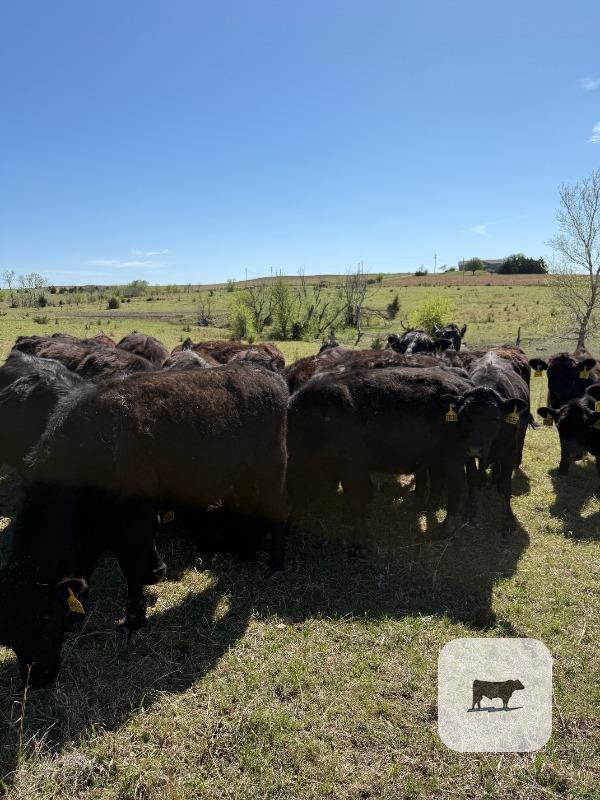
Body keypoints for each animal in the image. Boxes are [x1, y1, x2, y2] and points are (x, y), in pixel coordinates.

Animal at [0, 364, 289, 687]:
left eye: (46, 619)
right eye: (7, 636)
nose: (36, 678)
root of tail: (266, 374)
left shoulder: (135, 522)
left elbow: (133, 568)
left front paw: (134, 620)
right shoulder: (96, 531)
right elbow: (86, 568)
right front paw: (78, 613)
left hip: (272, 469)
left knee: (279, 513)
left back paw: (275, 565)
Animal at [287, 365, 473, 554]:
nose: (290, 523)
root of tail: (464, 385)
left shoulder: (352, 464)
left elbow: (356, 498)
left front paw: (360, 542)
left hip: (453, 458)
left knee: (459, 490)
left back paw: (446, 530)